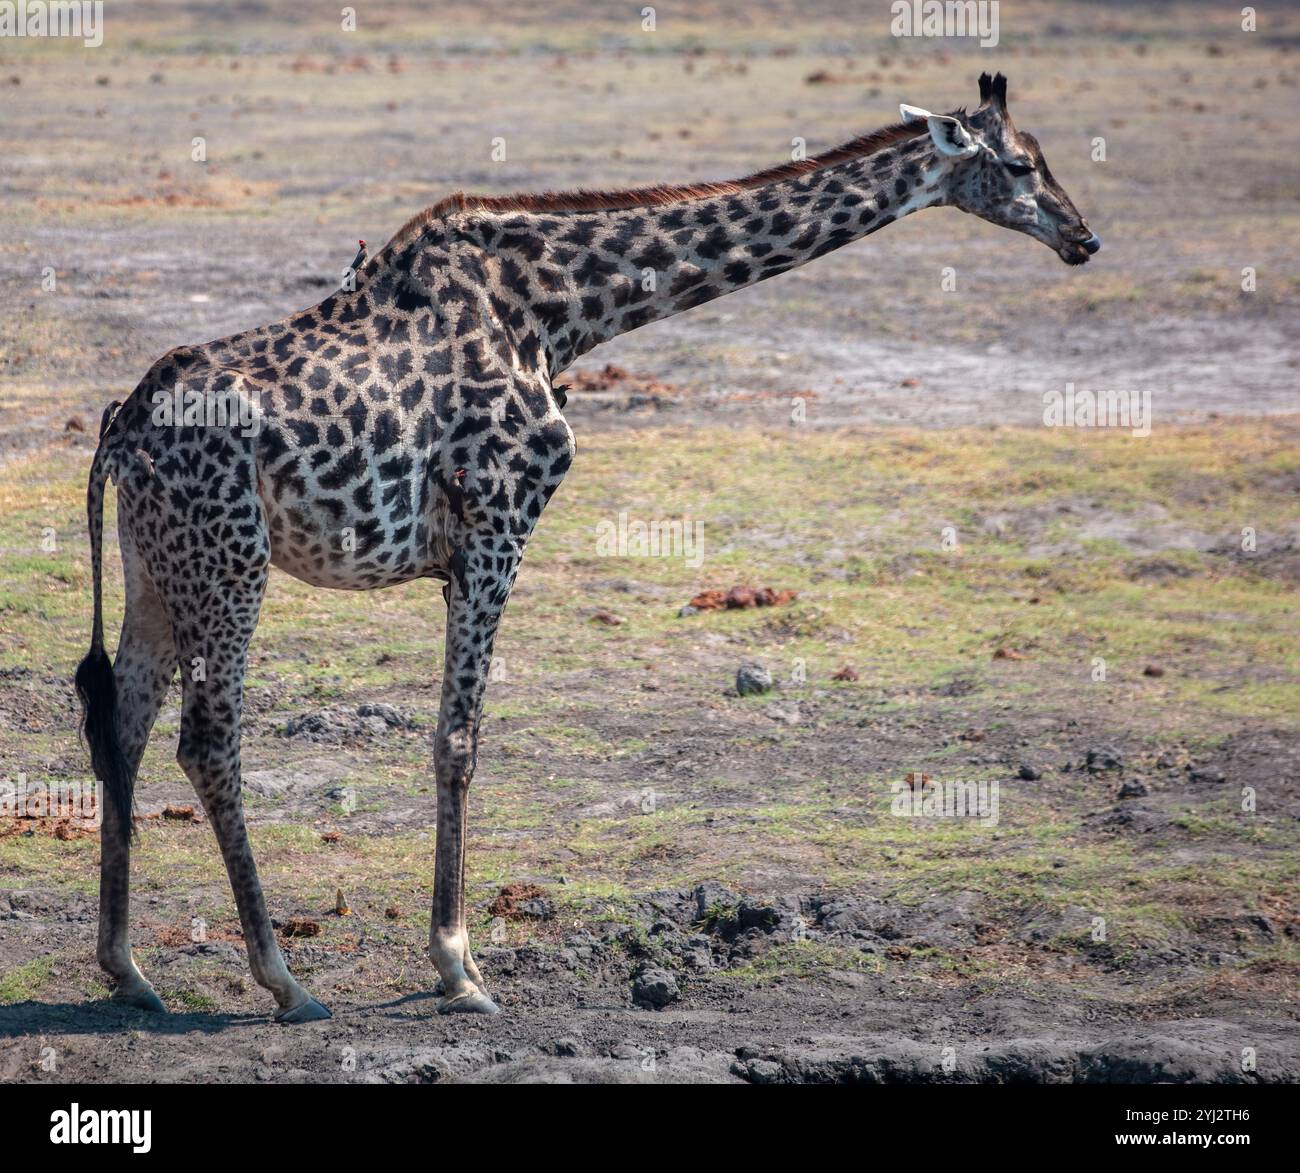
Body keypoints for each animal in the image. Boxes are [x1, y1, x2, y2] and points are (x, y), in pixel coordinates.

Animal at [78, 73, 1097, 1024]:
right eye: (1019, 166)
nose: (1083, 238)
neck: (559, 314)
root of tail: (121, 431)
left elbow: (453, 734)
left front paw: (454, 959)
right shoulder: (497, 528)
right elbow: (458, 738)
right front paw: (459, 967)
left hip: (155, 566)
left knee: (122, 721)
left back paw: (128, 969)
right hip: (230, 564)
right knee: (208, 740)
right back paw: (284, 980)